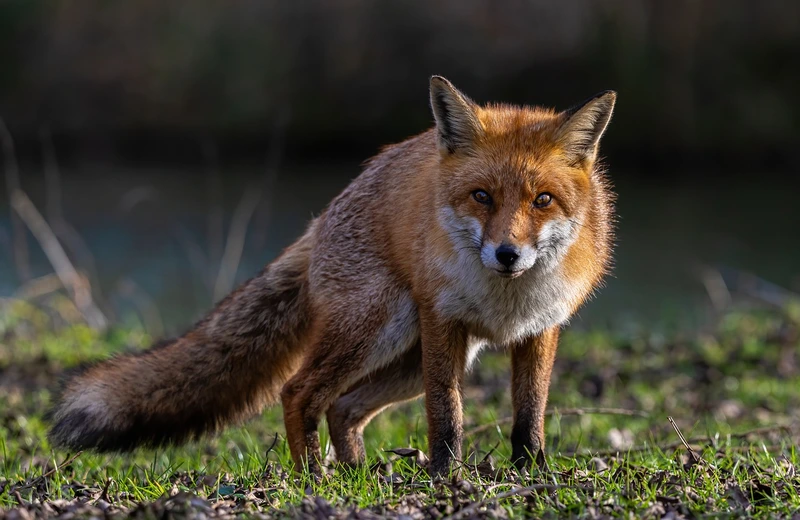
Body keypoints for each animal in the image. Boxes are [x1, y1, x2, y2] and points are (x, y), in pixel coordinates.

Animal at [47, 75, 616, 478]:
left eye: (542, 200)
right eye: (482, 196)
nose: (507, 254)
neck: (505, 300)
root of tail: (321, 218)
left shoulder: (541, 329)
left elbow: (529, 414)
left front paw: (531, 473)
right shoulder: (443, 322)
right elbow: (446, 414)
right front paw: (446, 476)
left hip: (408, 358)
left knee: (343, 406)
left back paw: (359, 474)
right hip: (382, 330)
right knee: (299, 392)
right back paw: (313, 477)